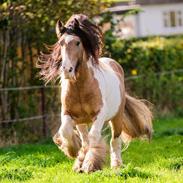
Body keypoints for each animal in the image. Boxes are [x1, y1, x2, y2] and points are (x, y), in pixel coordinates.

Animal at [37, 13, 153, 173]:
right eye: (61, 43)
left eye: (78, 42)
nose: (67, 70)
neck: (80, 87)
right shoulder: (68, 114)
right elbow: (66, 132)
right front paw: (73, 152)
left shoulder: (99, 114)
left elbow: (94, 137)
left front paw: (90, 164)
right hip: (81, 122)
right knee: (85, 139)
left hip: (116, 118)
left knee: (114, 140)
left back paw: (116, 165)